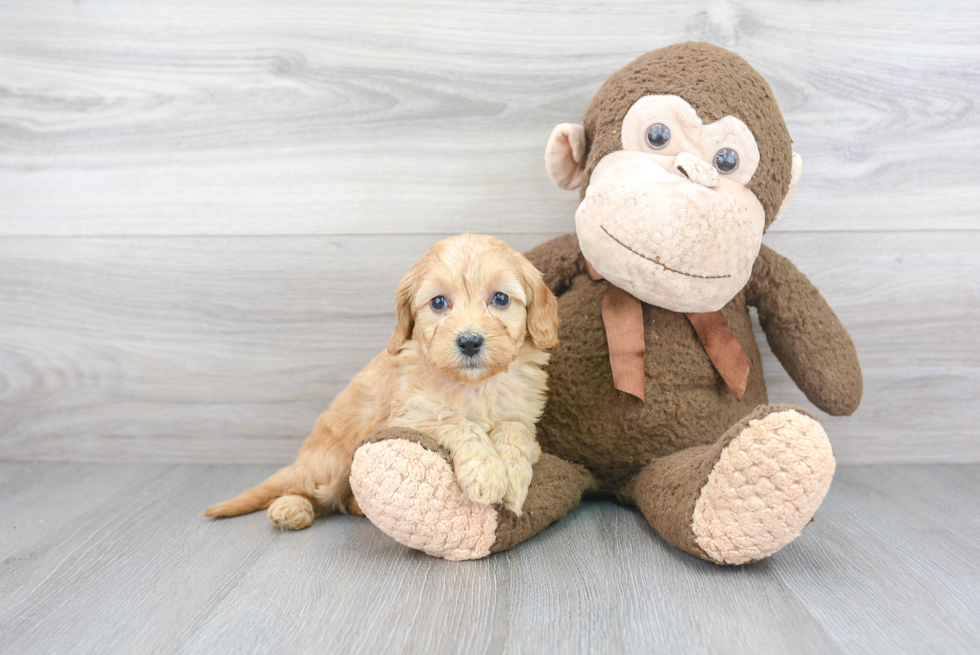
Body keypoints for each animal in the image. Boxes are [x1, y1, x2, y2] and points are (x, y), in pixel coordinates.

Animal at [203, 233, 556, 532]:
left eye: (500, 298)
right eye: (438, 302)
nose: (469, 342)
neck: (475, 384)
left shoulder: (522, 413)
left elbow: (515, 431)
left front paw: (513, 476)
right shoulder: (409, 416)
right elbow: (456, 422)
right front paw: (487, 473)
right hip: (330, 463)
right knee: (305, 489)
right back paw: (290, 508)